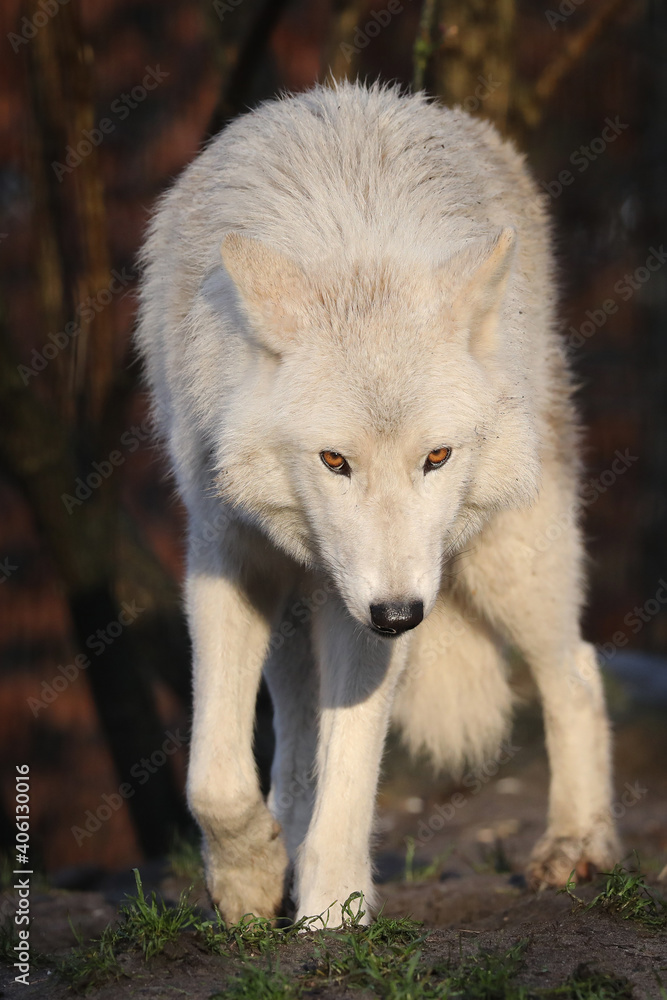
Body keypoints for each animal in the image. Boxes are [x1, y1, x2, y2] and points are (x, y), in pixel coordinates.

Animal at [136, 81, 620, 925]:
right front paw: (249, 879)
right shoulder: (231, 557)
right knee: (294, 743)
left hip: (507, 557)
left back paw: (574, 845)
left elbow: (353, 763)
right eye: (335, 461)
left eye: (436, 457)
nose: (398, 615)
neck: (354, 252)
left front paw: (333, 910)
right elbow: (216, 777)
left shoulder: (366, 602)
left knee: (577, 673)